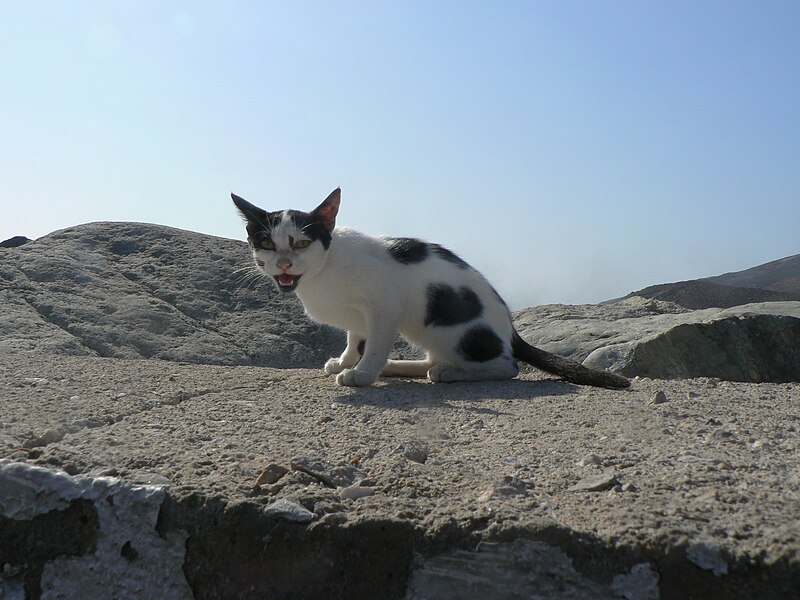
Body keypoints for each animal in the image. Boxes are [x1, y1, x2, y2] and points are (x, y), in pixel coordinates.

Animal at [231, 190, 632, 392]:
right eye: (266, 243)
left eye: (301, 243)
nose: (284, 264)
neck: (323, 271)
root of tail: (511, 331)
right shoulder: (361, 318)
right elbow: (355, 338)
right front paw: (346, 362)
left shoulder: (384, 306)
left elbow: (373, 344)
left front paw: (362, 374)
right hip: (425, 330)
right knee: (432, 359)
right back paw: (401, 367)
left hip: (452, 329)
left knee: (507, 366)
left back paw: (450, 374)